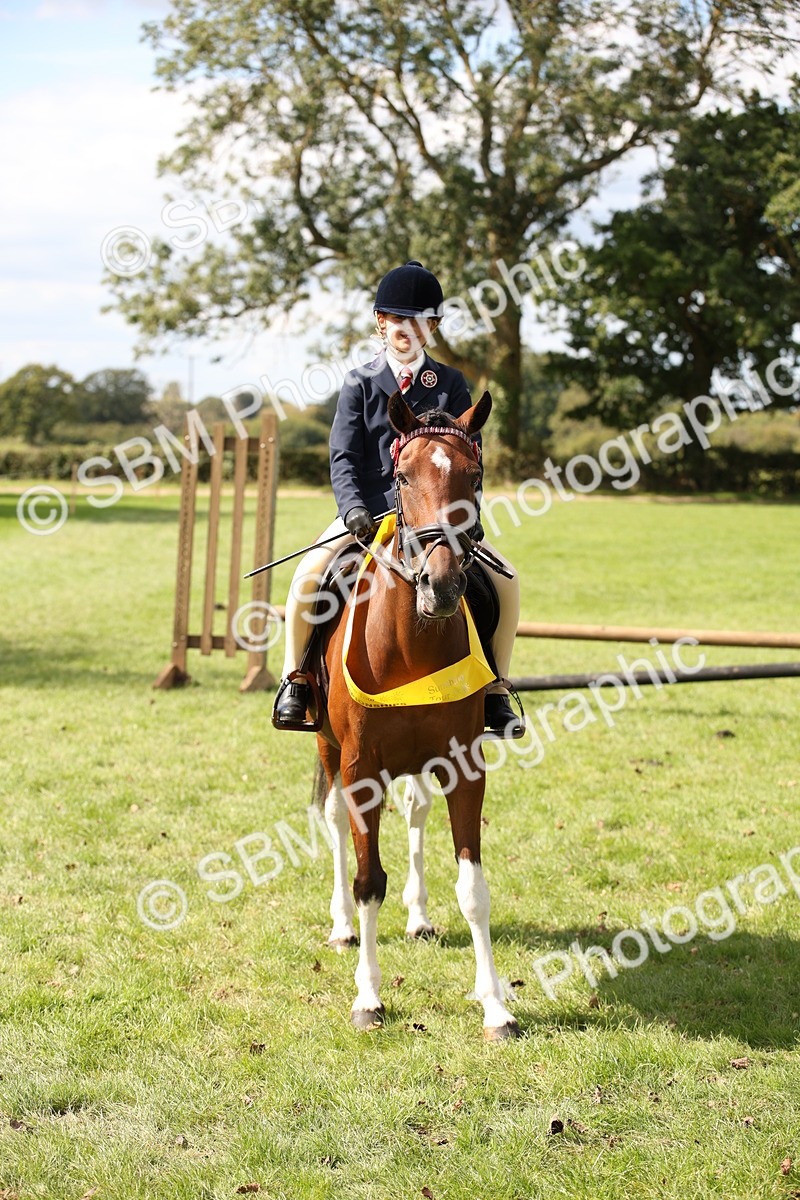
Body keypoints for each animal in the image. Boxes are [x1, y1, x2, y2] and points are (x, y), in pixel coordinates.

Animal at [313, 387, 521, 1041]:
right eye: (401, 477)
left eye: (474, 476)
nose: (442, 584)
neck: (411, 643)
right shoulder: (359, 770)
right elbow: (367, 882)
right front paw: (368, 997)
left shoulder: (465, 766)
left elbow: (474, 886)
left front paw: (495, 1005)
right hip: (327, 747)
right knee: (332, 820)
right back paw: (340, 927)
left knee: (416, 813)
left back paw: (419, 916)